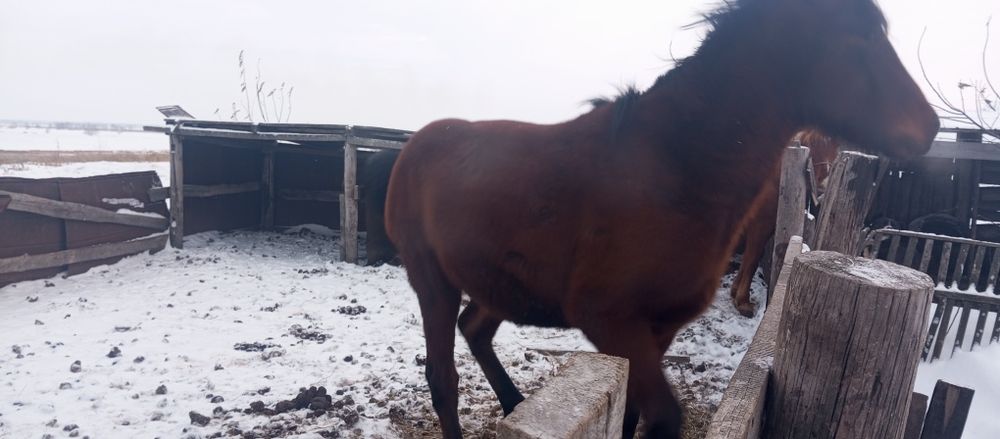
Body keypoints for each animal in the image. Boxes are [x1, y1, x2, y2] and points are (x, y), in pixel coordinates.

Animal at [728, 130, 840, 317]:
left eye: (835, 148)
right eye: (811, 144)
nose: (822, 187)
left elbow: (750, 258)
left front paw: (735, 292)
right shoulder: (759, 226)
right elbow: (752, 259)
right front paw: (743, 301)